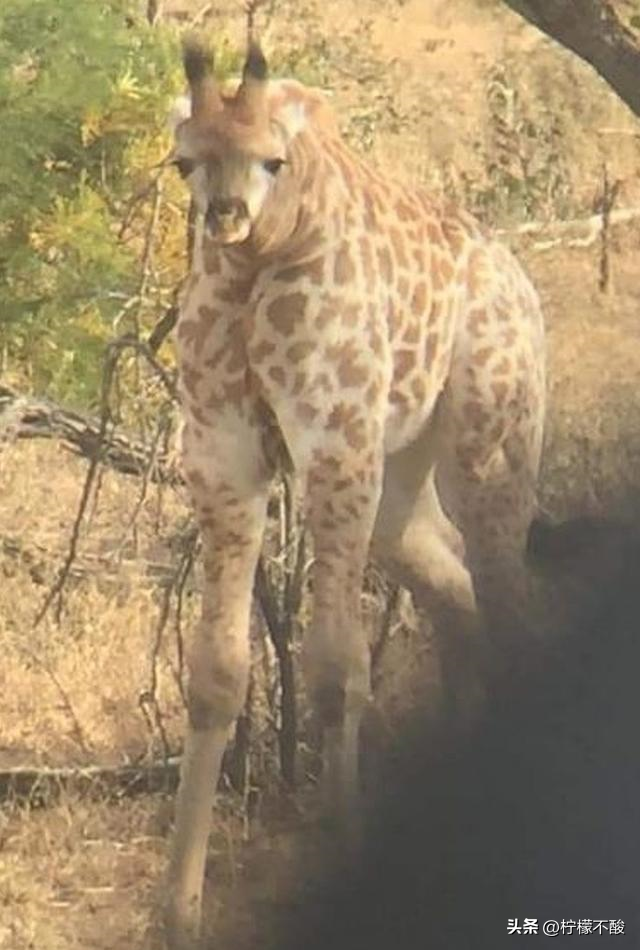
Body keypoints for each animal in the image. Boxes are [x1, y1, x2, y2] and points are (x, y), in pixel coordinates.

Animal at [164, 35, 544, 950]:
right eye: (183, 161)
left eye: (273, 158)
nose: (224, 219)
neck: (258, 266)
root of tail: (523, 283)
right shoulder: (223, 457)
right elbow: (216, 672)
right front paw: (177, 909)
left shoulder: (336, 445)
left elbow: (337, 666)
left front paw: (341, 847)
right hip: (400, 484)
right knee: (457, 583)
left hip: (487, 445)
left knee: (509, 597)